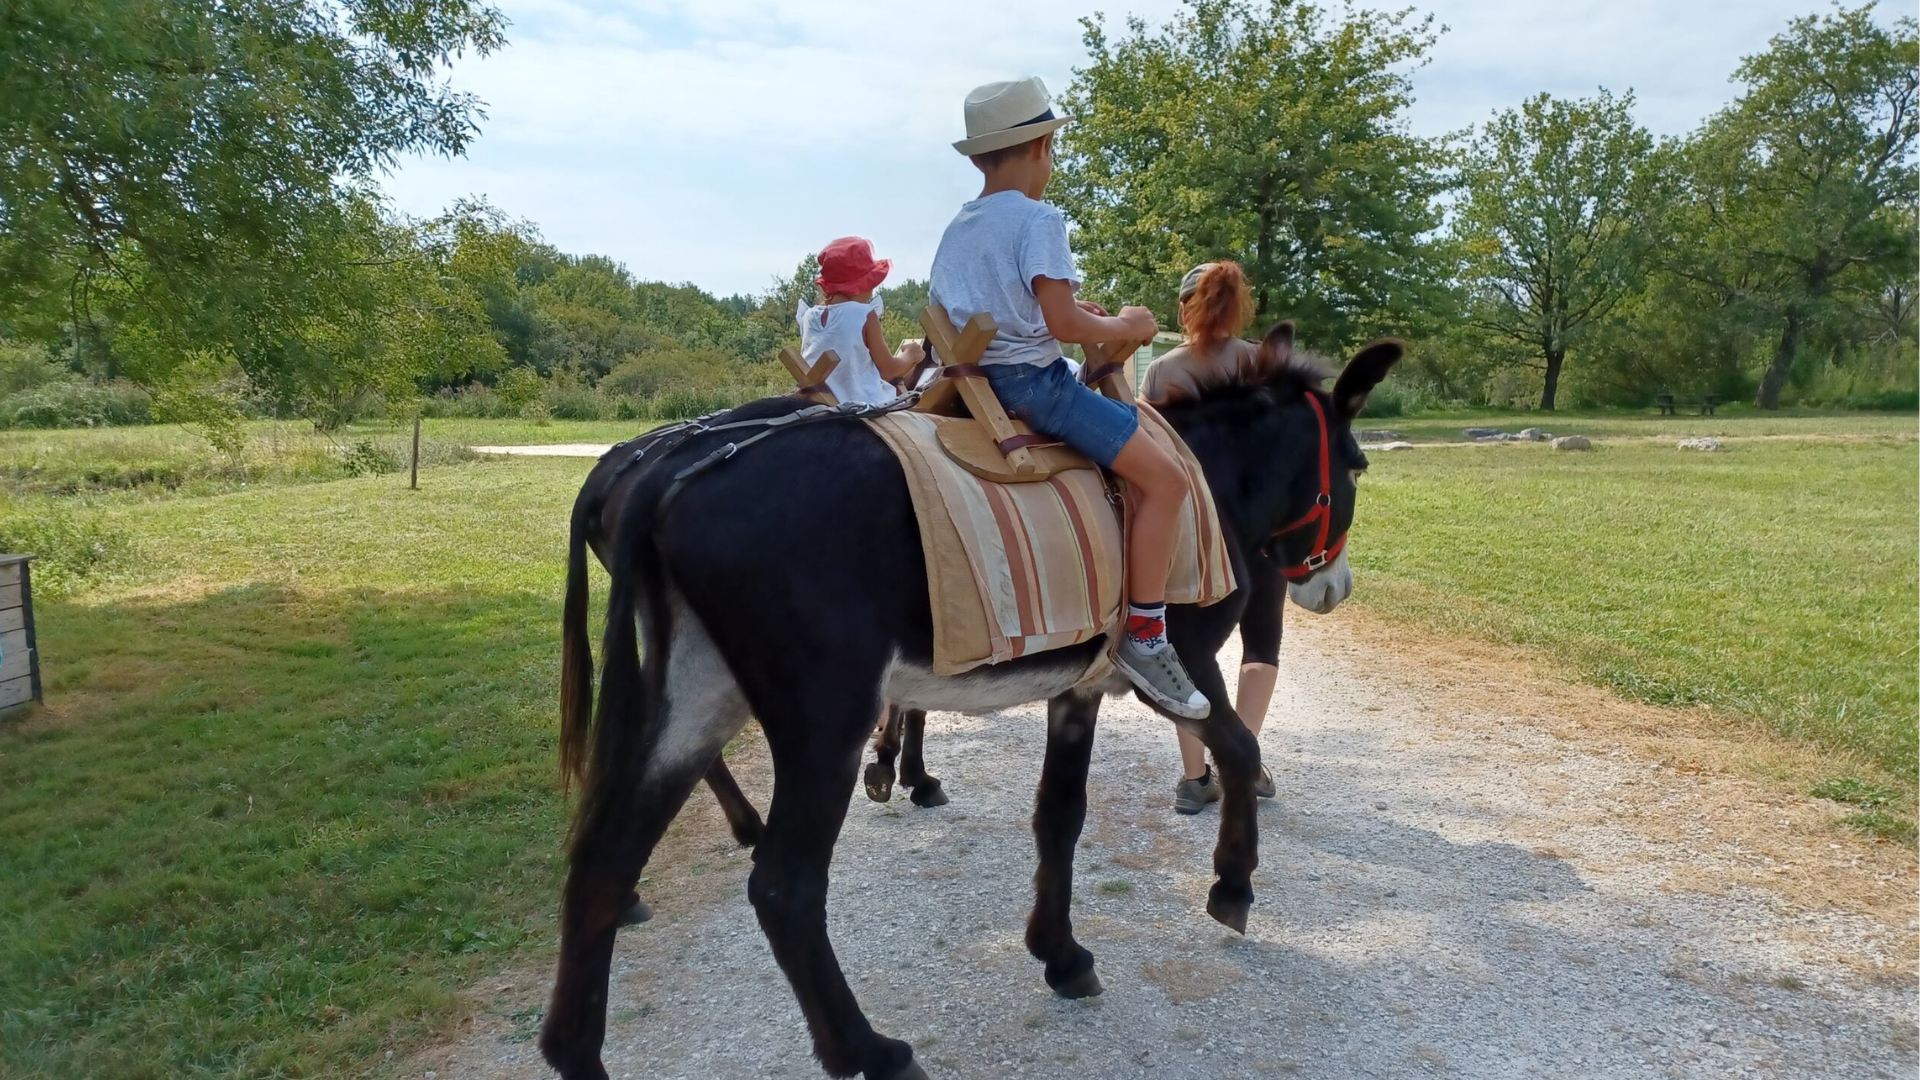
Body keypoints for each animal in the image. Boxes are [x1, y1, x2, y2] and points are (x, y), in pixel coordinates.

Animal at [542, 321, 1402, 1080]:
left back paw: (578, 1051)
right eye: (1357, 467)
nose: (1334, 587)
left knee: (605, 855)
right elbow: (1239, 751)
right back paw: (869, 1051)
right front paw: (1232, 885)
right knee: (783, 887)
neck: (1204, 479)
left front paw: (1060, 954)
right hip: (823, 721)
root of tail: (667, 472)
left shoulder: (1078, 692)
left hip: (697, 697)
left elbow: (1059, 817)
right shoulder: (1183, 664)